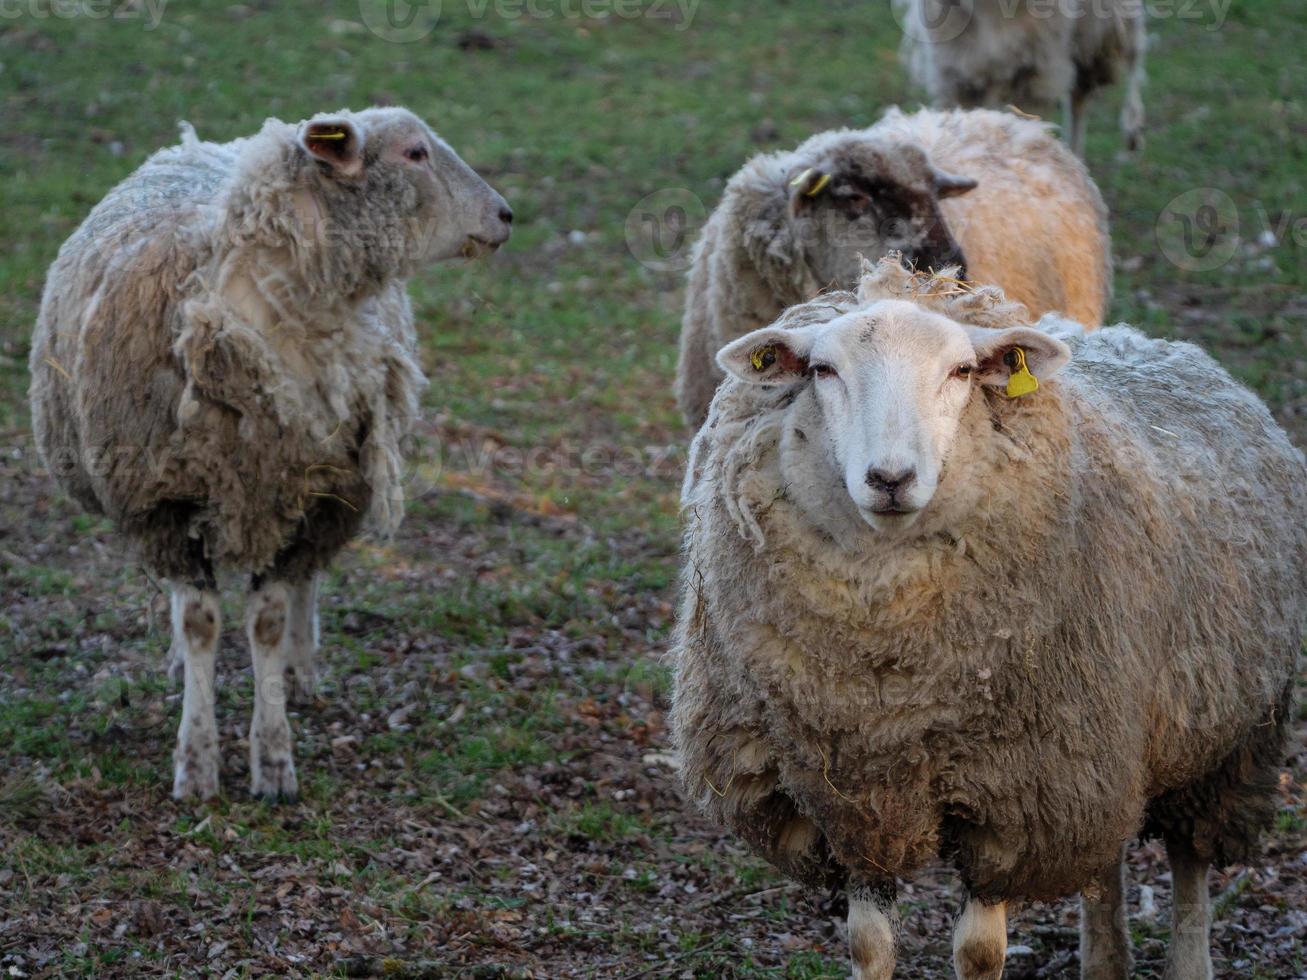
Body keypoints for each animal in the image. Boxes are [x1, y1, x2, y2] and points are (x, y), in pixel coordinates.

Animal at [29, 109, 509, 804]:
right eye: (415, 153)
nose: (505, 215)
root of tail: (209, 141)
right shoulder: (160, 500)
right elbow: (200, 621)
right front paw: (196, 762)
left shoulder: (308, 493)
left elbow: (269, 623)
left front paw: (274, 758)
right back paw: (181, 662)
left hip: (327, 492)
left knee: (308, 583)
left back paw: (301, 671)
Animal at [674, 258, 1307, 980]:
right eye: (824, 371)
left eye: (959, 371)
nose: (889, 478)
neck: (888, 685)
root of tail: (1133, 337)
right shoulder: (851, 795)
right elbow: (868, 944)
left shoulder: (1015, 794)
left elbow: (978, 953)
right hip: (1103, 742)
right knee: (1105, 854)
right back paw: (1104, 960)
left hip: (1220, 734)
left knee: (1190, 862)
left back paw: (1187, 960)